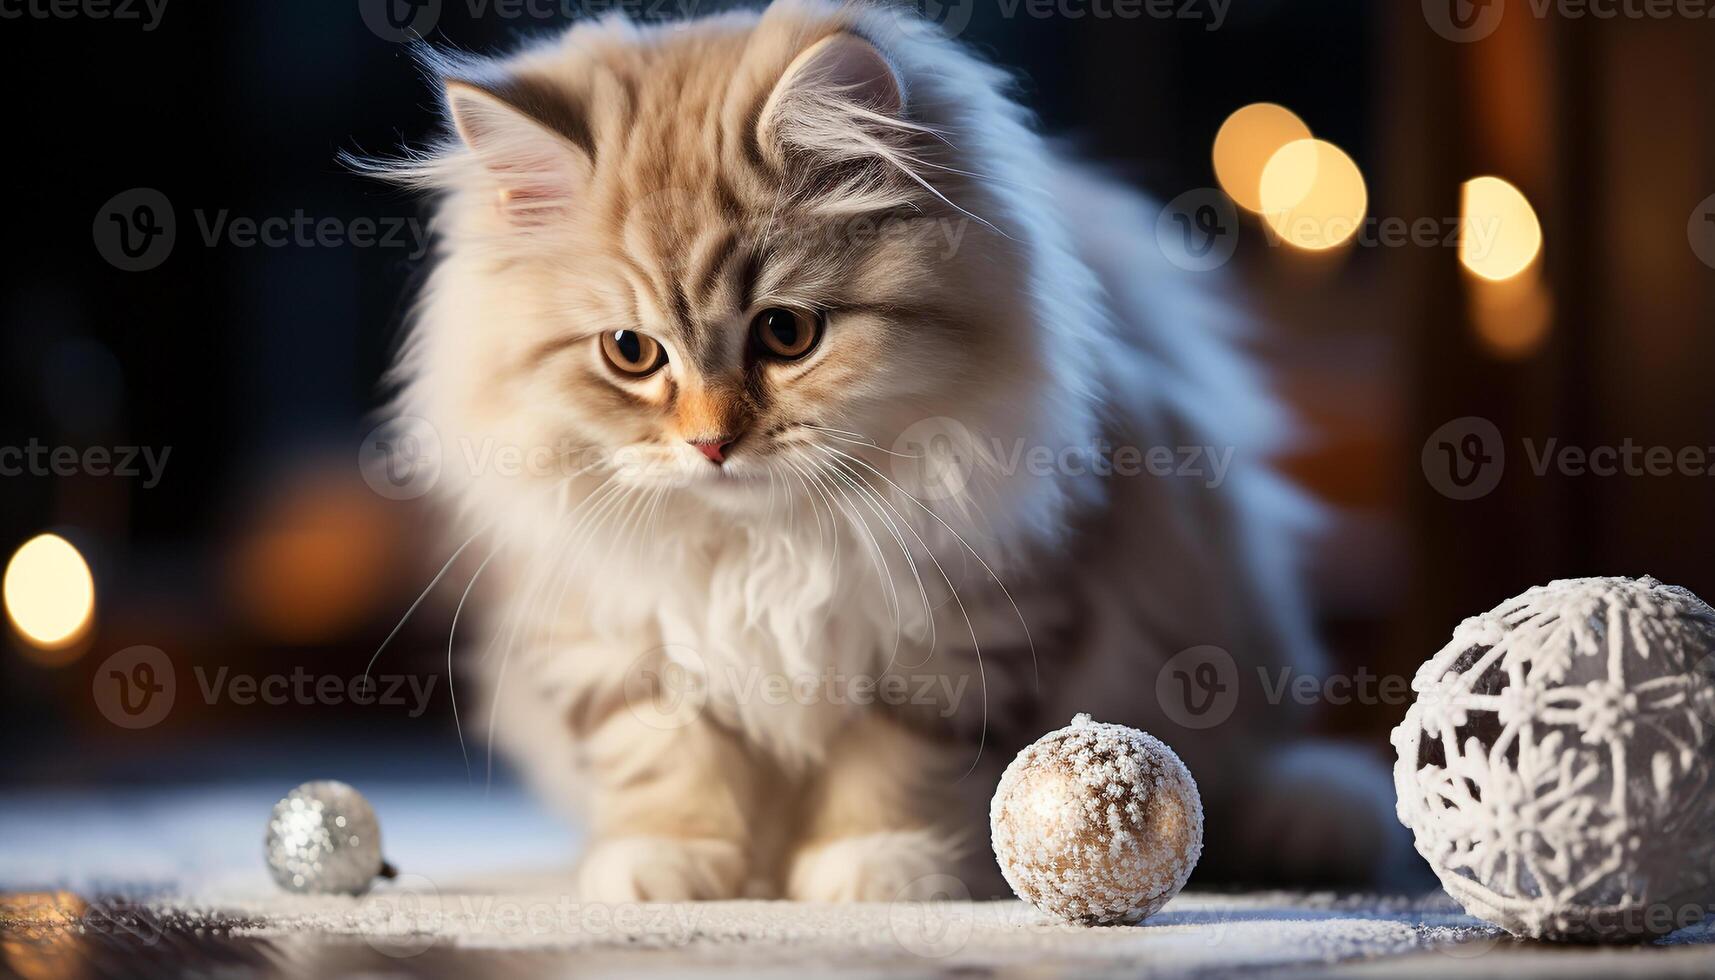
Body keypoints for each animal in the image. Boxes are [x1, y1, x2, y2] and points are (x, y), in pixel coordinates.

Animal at [368, 0, 1399, 899]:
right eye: (630, 352)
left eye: (786, 334)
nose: (710, 443)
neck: (762, 546)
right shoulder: (615, 632)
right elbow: (665, 758)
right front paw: (666, 869)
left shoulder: (960, 633)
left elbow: (894, 764)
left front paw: (879, 869)